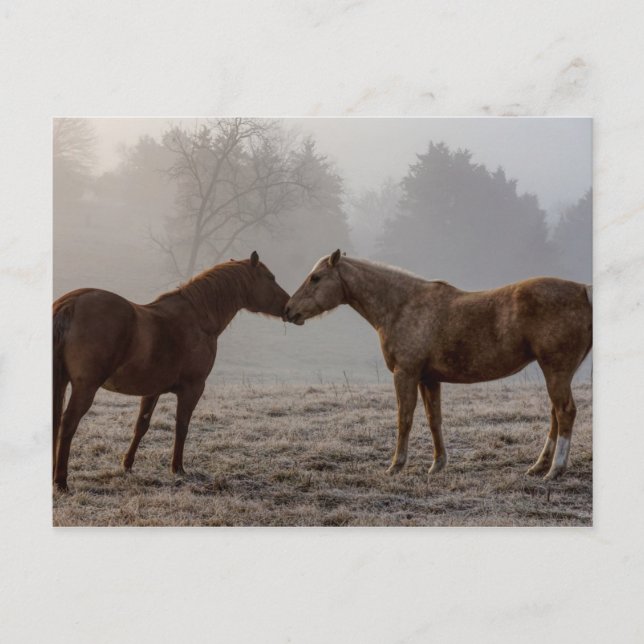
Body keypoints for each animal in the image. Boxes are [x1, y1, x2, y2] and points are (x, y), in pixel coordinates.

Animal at [52, 251, 289, 491]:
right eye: (270, 277)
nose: (288, 306)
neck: (198, 318)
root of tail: (72, 303)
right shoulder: (193, 389)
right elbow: (182, 427)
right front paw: (178, 468)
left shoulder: (152, 390)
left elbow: (141, 425)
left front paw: (127, 464)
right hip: (86, 387)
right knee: (68, 423)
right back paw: (61, 481)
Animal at [285, 250, 592, 481]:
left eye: (316, 278)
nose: (288, 310)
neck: (402, 306)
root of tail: (581, 291)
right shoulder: (428, 379)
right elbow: (435, 419)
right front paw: (437, 464)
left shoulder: (405, 374)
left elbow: (404, 418)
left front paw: (396, 465)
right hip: (556, 373)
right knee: (555, 414)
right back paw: (539, 466)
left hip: (556, 370)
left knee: (565, 412)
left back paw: (555, 470)